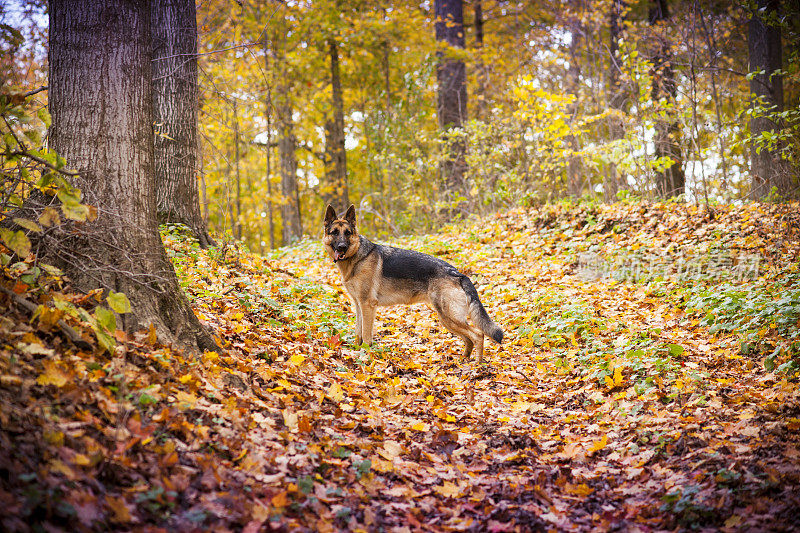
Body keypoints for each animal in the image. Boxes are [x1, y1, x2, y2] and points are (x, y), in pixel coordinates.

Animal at [324, 204, 500, 362]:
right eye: (334, 233)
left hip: (449, 317)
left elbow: (366, 336)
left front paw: (367, 356)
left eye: (347, 233)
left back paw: (477, 366)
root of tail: (458, 273)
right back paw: (464, 360)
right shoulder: (359, 305)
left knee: (478, 335)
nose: (342, 247)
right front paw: (357, 351)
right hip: (447, 319)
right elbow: (358, 333)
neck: (358, 257)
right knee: (469, 339)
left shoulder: (368, 306)